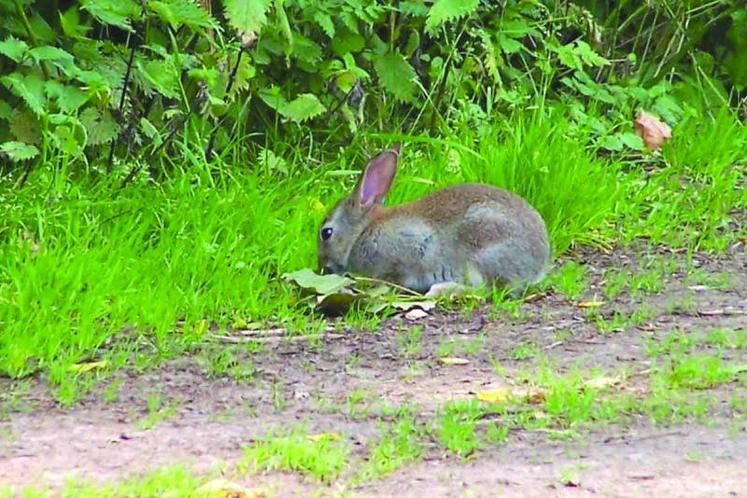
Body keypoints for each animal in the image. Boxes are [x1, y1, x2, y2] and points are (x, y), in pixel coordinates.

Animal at [318, 142, 552, 294]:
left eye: (326, 233)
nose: (322, 267)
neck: (361, 233)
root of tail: (538, 264)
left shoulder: (410, 248)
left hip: (482, 249)